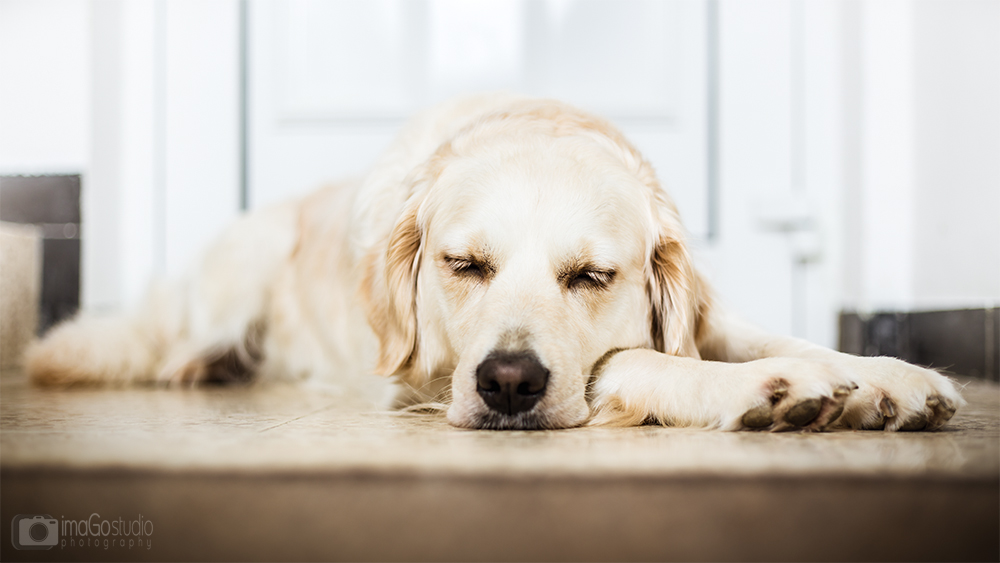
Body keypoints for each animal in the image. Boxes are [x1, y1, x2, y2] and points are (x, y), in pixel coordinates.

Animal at [23, 96, 960, 432]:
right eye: (465, 264)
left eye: (591, 277)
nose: (509, 382)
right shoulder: (425, 378)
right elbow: (635, 361)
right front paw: (770, 389)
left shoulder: (703, 312)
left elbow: (783, 338)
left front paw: (888, 377)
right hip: (238, 268)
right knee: (173, 344)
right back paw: (208, 365)